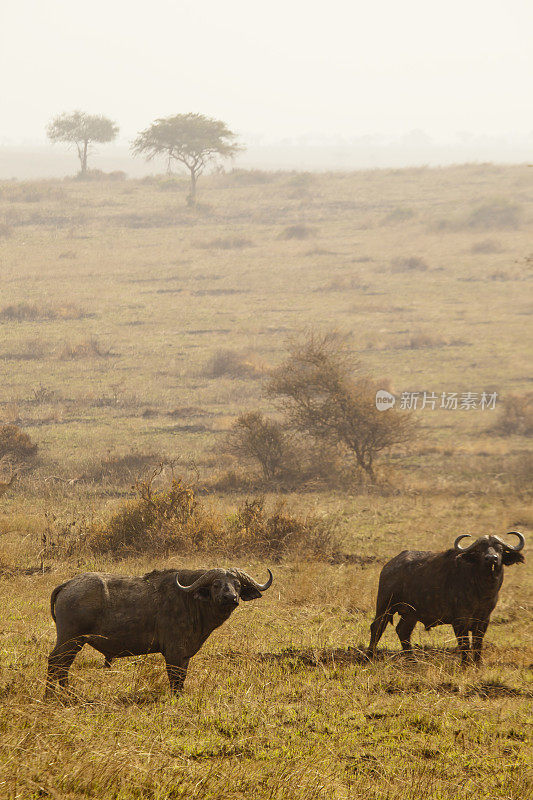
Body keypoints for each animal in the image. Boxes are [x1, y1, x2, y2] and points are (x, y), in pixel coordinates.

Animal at [43, 564, 272, 696]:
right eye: (216, 584)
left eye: (237, 585)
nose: (230, 598)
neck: (190, 600)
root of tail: (68, 584)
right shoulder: (174, 652)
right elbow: (175, 678)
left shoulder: (185, 654)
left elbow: (182, 677)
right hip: (70, 639)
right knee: (56, 662)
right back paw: (52, 695)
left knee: (63, 665)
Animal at [366, 532, 524, 664]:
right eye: (480, 550)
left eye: (500, 549)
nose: (492, 559)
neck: (481, 590)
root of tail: (389, 566)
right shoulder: (460, 621)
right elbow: (464, 644)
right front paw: (465, 665)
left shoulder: (484, 619)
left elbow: (478, 643)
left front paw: (478, 665)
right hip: (385, 606)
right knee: (377, 627)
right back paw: (369, 656)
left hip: (411, 613)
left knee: (403, 631)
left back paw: (412, 660)